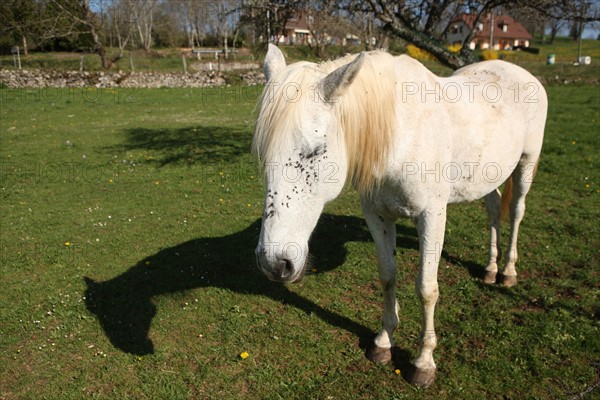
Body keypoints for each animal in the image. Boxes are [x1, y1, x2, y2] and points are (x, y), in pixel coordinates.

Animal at [253, 44, 548, 388]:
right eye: (264, 155)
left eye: (314, 151)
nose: (274, 263)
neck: (399, 137)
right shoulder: (377, 215)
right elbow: (388, 275)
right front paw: (383, 342)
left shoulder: (432, 216)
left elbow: (426, 288)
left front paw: (424, 362)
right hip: (489, 175)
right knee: (493, 208)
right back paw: (489, 268)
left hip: (526, 164)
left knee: (515, 212)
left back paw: (508, 272)